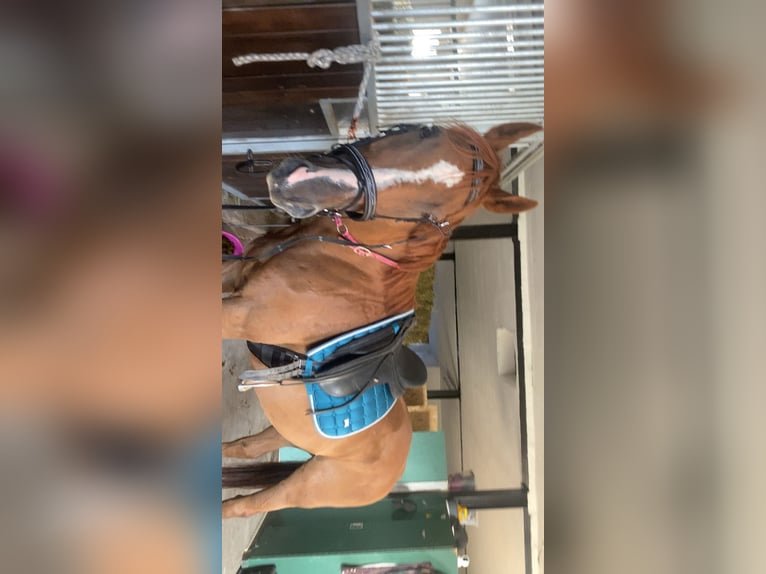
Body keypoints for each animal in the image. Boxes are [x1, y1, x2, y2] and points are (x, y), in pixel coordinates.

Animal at [222, 122, 541, 518]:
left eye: (430, 215)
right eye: (426, 131)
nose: (301, 181)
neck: (343, 269)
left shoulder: (239, 313)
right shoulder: (232, 277)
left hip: (303, 486)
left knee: (245, 505)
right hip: (286, 431)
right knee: (245, 447)